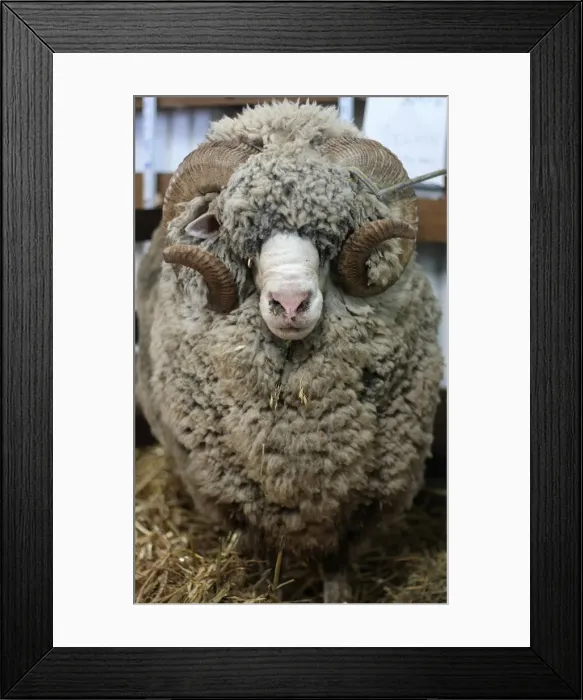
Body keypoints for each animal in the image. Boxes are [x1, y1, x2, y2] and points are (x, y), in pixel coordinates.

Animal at [136, 100, 444, 603]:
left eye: (334, 235)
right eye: (240, 237)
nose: (291, 304)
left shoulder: (363, 499)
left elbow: (338, 565)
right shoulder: (234, 498)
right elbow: (259, 559)